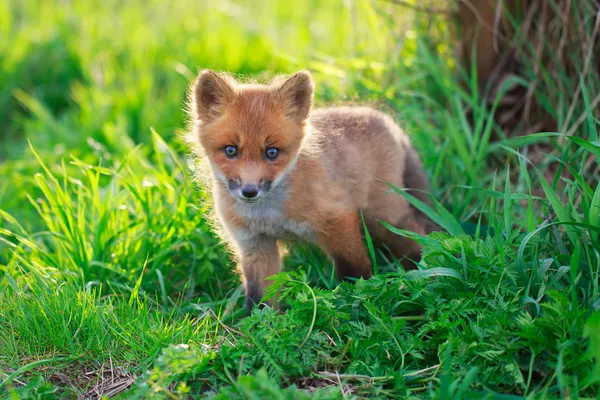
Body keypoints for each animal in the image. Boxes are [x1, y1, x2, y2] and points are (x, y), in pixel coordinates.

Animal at [188, 69, 432, 312]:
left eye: (272, 152)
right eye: (231, 150)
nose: (249, 191)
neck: (269, 215)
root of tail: (386, 120)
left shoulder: (338, 220)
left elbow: (354, 274)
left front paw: (356, 306)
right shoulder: (254, 244)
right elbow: (260, 300)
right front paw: (260, 322)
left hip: (383, 218)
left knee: (416, 238)